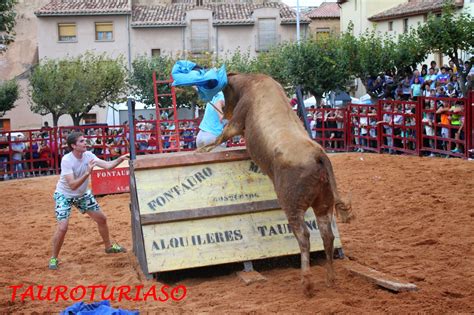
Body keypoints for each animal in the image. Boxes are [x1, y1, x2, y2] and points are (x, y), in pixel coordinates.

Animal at [199, 73, 352, 298]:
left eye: (225, 92)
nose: (223, 112)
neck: (250, 83)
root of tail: (319, 155)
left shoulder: (237, 119)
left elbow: (223, 134)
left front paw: (202, 150)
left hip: (291, 203)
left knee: (304, 236)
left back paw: (307, 283)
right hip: (323, 203)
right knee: (327, 235)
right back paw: (330, 279)